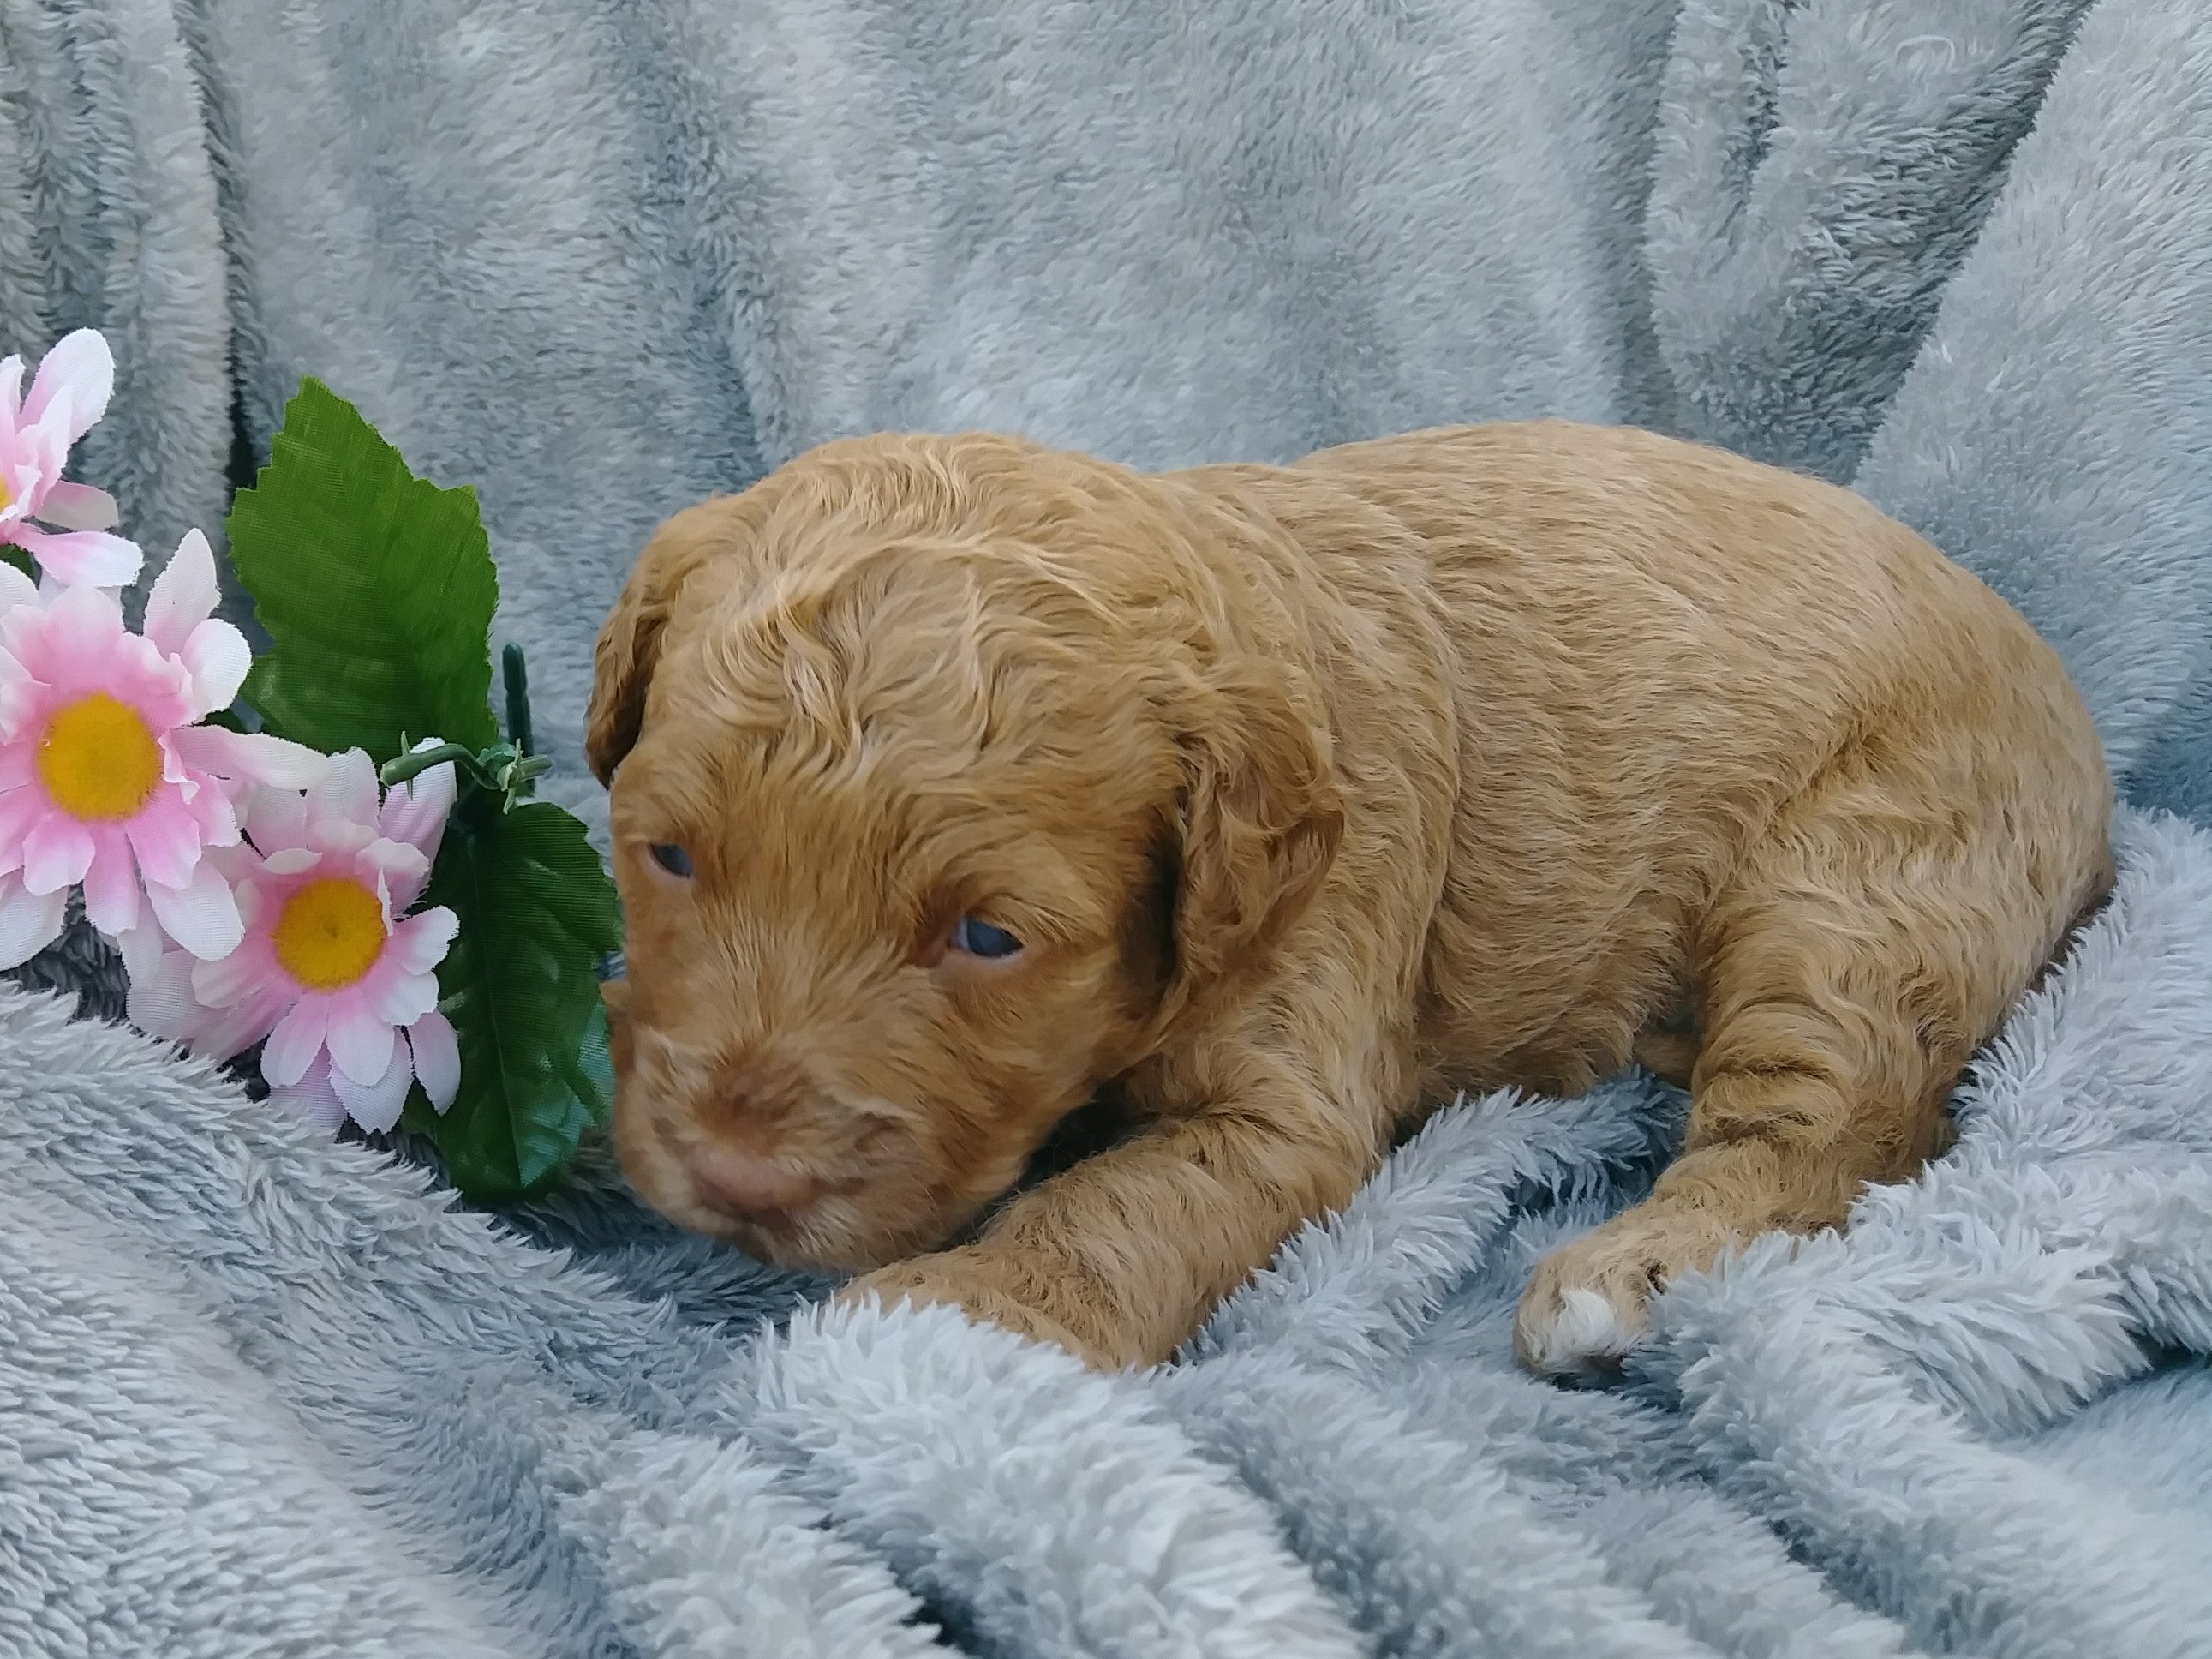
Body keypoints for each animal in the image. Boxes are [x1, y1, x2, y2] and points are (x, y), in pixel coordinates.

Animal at [583, 424, 2106, 1380]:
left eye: (988, 937)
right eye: (668, 858)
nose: (736, 1177)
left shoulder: (1293, 1067)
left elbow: (1118, 1205)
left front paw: (963, 1308)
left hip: (1857, 889)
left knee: (1839, 1127)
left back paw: (1621, 1277)